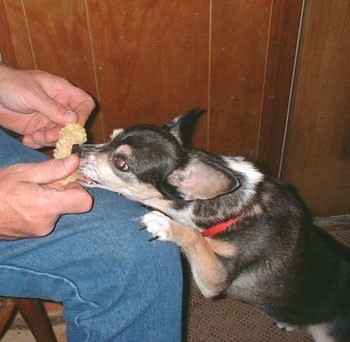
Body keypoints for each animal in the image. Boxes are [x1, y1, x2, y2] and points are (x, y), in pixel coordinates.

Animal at [74, 108, 350, 340]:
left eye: (121, 163)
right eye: (110, 137)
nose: (76, 148)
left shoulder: (215, 281)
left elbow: (196, 238)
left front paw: (164, 225)